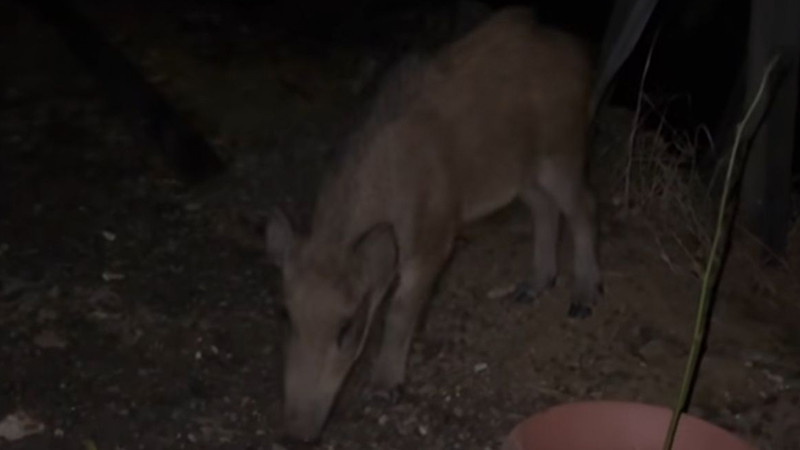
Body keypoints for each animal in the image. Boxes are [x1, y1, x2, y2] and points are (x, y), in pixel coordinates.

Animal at [265, 6, 602, 443]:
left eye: (348, 326)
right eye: (285, 315)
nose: (295, 435)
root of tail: (580, 52)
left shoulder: (435, 240)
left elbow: (400, 311)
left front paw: (383, 391)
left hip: (563, 152)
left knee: (583, 207)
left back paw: (582, 302)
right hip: (519, 174)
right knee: (545, 209)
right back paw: (528, 289)